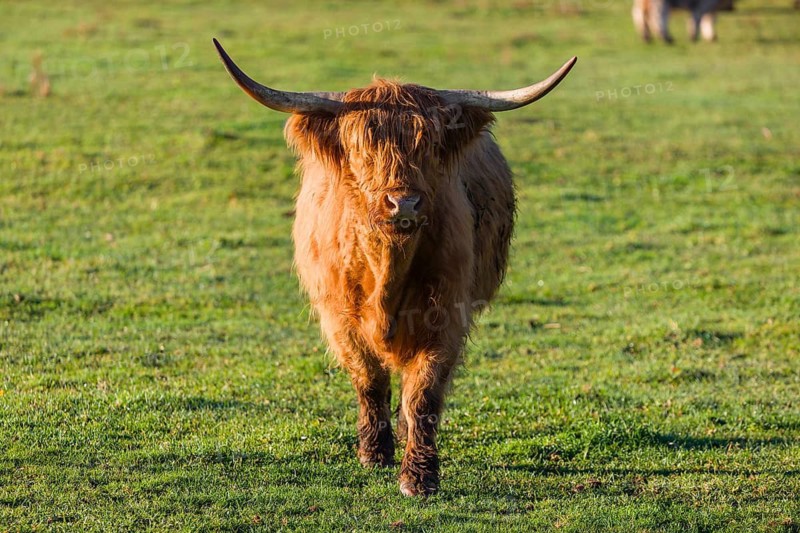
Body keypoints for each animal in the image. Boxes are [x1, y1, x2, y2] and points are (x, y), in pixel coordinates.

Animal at [213, 38, 576, 496]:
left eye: (430, 146)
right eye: (362, 150)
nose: (403, 203)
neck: (387, 269)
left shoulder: (447, 316)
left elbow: (423, 393)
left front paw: (419, 476)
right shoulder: (338, 316)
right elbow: (369, 379)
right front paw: (374, 453)